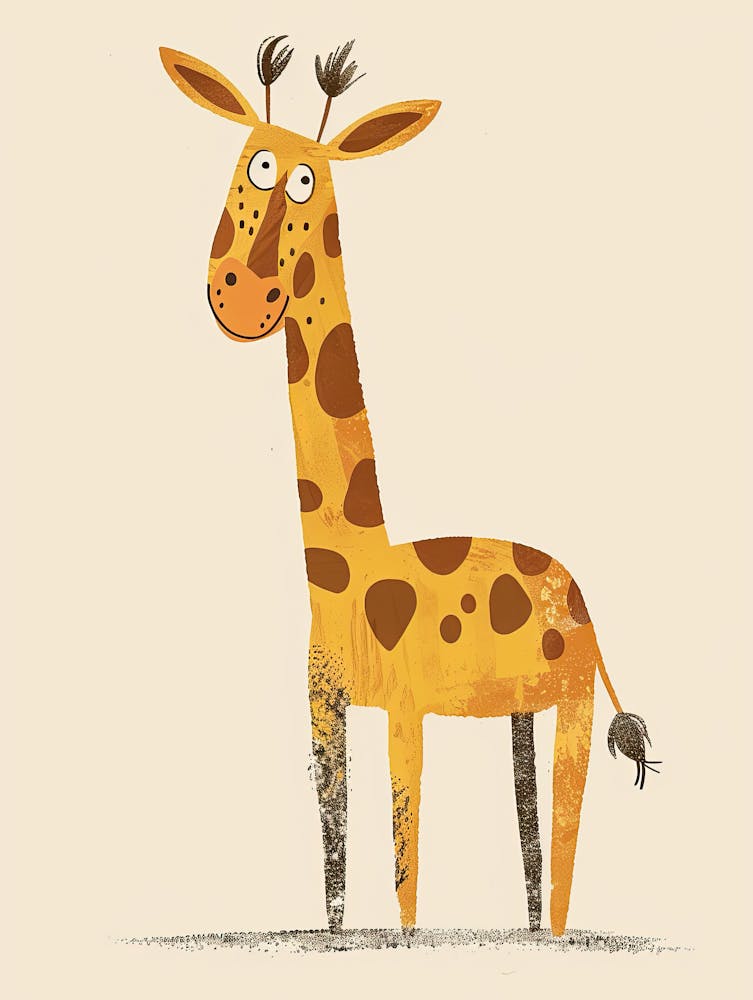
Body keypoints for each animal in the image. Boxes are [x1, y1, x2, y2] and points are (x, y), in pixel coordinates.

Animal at [159, 42, 658, 938]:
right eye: (250, 162)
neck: (349, 568)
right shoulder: (325, 710)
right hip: (521, 707)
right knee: (531, 836)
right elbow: (334, 857)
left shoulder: (404, 710)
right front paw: (336, 940)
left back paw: (556, 937)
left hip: (571, 701)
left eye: (302, 179)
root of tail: (581, 595)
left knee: (564, 839)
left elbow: (404, 871)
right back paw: (530, 931)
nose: (240, 296)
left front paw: (404, 942)